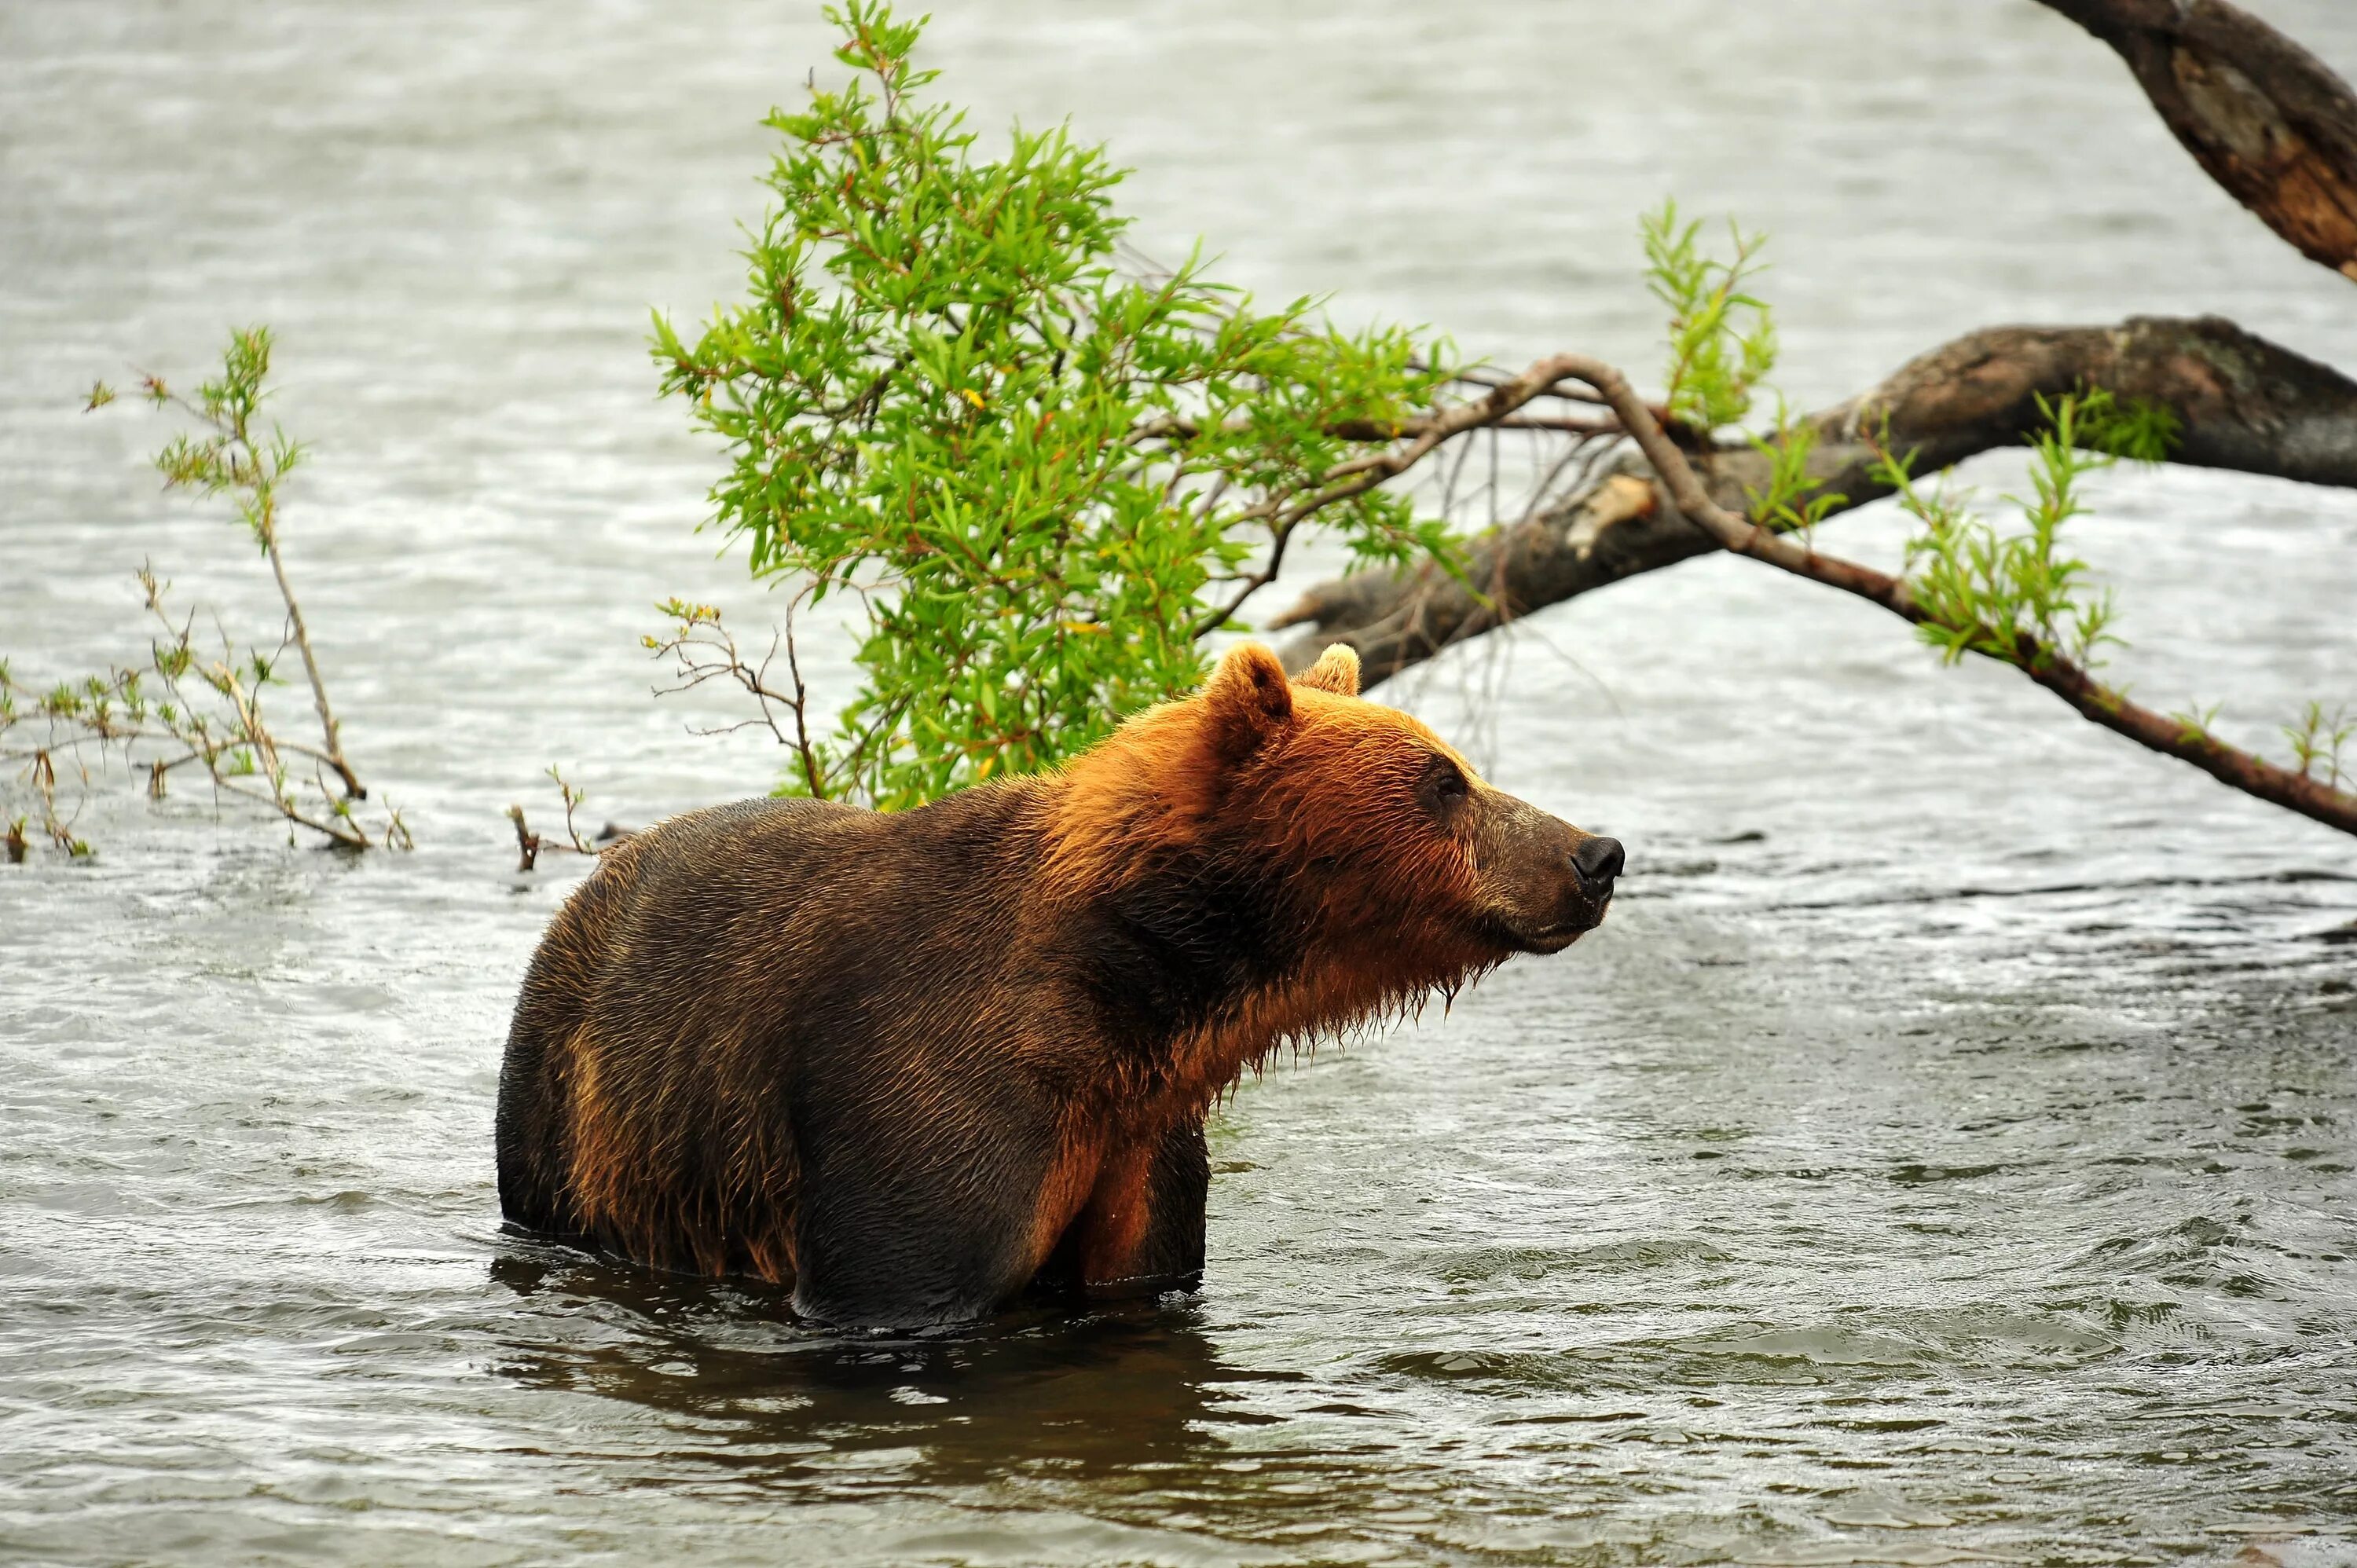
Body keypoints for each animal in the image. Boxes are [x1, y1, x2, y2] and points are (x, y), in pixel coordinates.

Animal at [497, 641, 1622, 1329]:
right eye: (1444, 780)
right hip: (571, 1113)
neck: (1127, 989)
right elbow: (901, 1268)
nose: (1594, 853)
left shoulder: (1140, 1140)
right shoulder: (924, 1096)